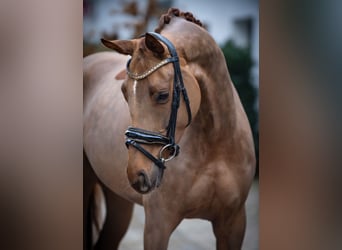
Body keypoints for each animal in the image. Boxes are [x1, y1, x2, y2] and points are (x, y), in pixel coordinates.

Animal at [83, 8, 254, 250]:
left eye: (163, 95)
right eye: (124, 92)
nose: (138, 174)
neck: (216, 145)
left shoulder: (233, 222)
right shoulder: (158, 225)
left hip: (119, 200)